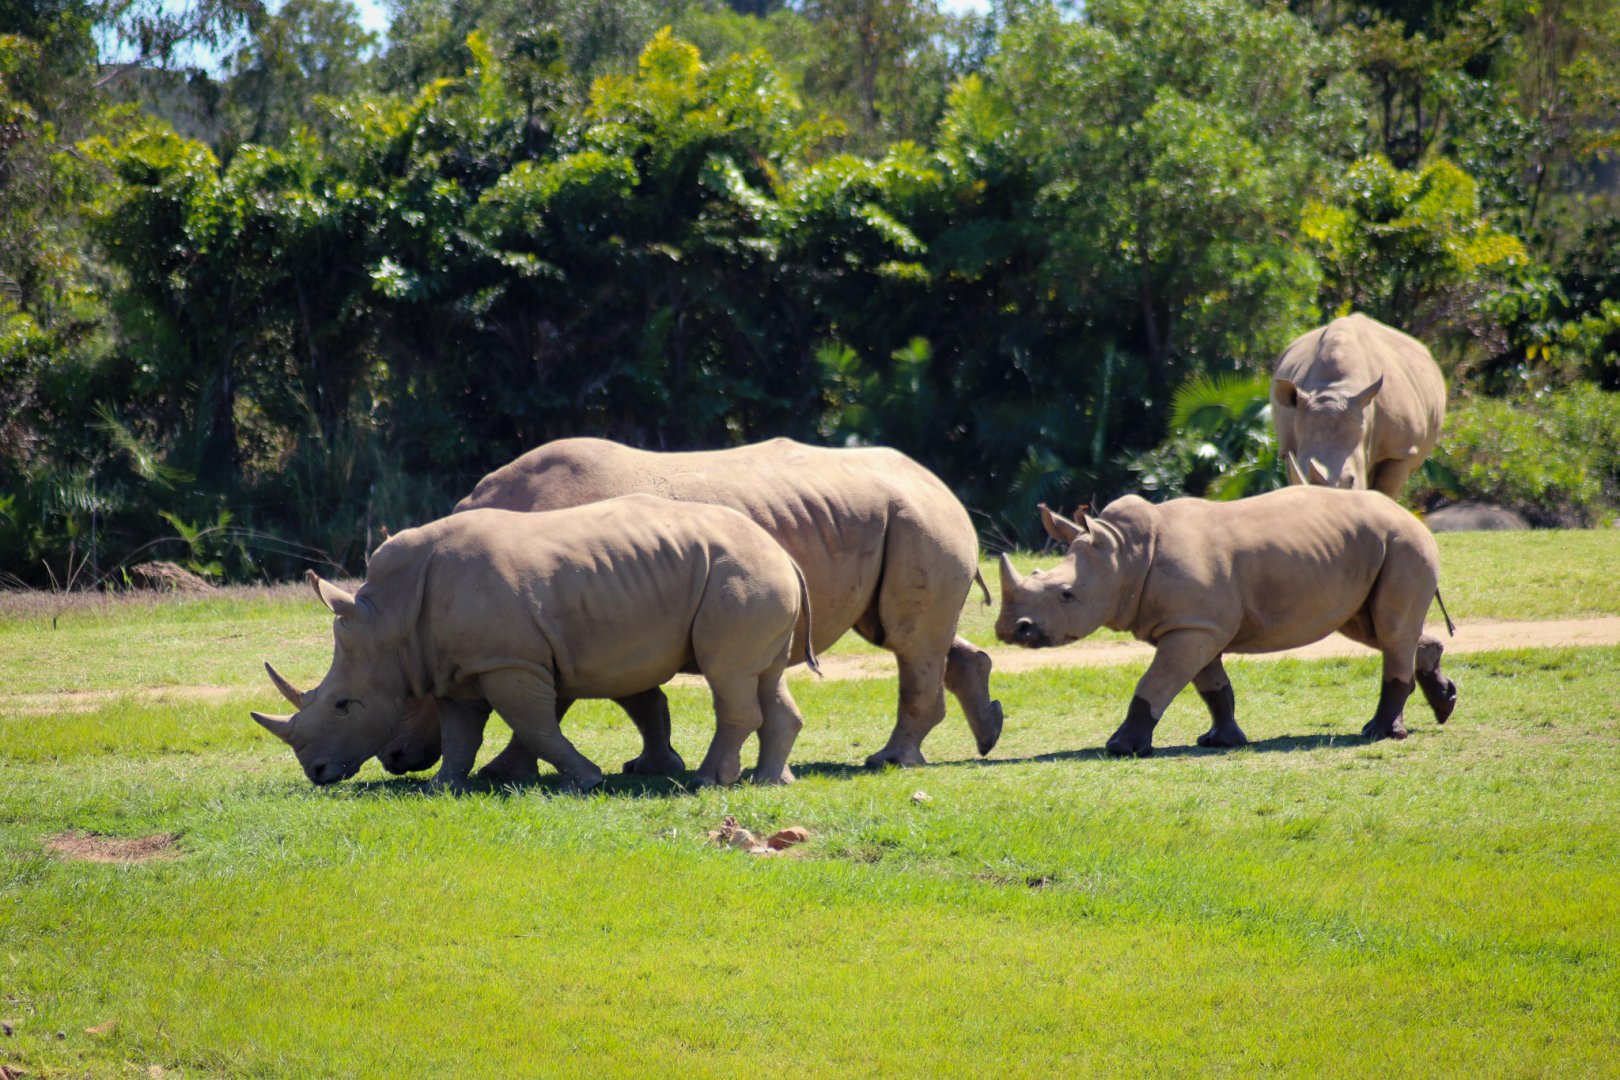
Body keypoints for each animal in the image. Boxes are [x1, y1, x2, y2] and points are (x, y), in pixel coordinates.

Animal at [251, 496, 816, 791]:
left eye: (345, 705)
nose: (317, 773)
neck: (390, 618)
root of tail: (785, 554)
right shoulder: (459, 668)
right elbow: (462, 734)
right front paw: (442, 788)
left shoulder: (508, 662)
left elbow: (535, 725)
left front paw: (586, 780)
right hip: (751, 574)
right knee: (764, 676)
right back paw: (771, 782)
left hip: (739, 575)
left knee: (728, 676)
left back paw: (707, 782)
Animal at [380, 436, 1001, 781]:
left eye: (416, 696)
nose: (396, 759)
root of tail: (936, 480)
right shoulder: (604, 621)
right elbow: (639, 698)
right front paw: (652, 768)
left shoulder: (563, 624)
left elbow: (554, 706)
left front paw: (503, 773)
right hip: (894, 517)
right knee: (908, 635)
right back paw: (986, 736)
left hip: (919, 518)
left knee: (907, 640)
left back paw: (889, 761)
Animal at [995, 487, 1457, 756]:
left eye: (1067, 594)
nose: (1009, 630)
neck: (1124, 555)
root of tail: (1409, 514)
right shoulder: (1196, 625)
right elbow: (1213, 687)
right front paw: (1222, 742)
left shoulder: (1192, 626)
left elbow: (1155, 683)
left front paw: (1121, 748)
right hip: (1372, 549)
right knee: (1375, 629)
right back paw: (1443, 701)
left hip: (1403, 544)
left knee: (1390, 629)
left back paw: (1378, 734)